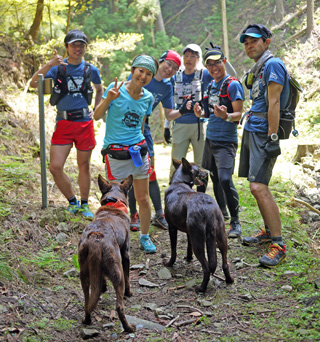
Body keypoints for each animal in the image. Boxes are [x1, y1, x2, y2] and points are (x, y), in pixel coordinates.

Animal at [79, 174, 136, 332]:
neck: (114, 203)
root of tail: (96, 238)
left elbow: (101, 278)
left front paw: (103, 287)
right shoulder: (126, 254)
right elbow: (128, 278)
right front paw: (129, 293)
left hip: (84, 275)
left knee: (87, 302)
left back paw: (87, 320)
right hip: (117, 273)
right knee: (119, 306)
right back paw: (128, 328)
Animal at [164, 159, 234, 292]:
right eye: (199, 169)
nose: (208, 172)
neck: (179, 182)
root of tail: (209, 208)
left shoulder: (172, 228)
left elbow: (173, 250)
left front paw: (169, 263)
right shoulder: (189, 232)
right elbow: (188, 246)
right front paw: (188, 258)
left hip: (199, 243)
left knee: (206, 268)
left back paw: (201, 288)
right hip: (221, 239)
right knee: (225, 264)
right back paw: (229, 280)